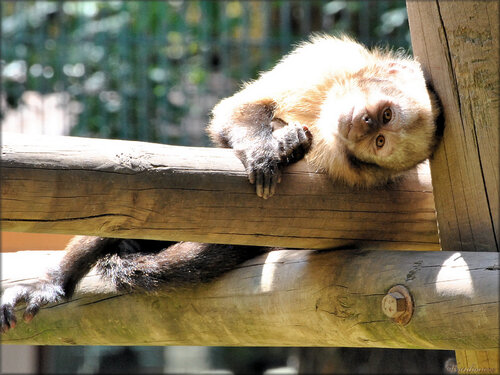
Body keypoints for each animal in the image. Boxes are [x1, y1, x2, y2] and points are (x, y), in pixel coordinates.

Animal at [1, 36, 444, 334]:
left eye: (380, 141)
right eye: (384, 115)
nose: (364, 123)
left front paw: (288, 146)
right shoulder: (330, 61)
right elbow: (240, 110)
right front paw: (269, 149)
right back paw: (54, 283)